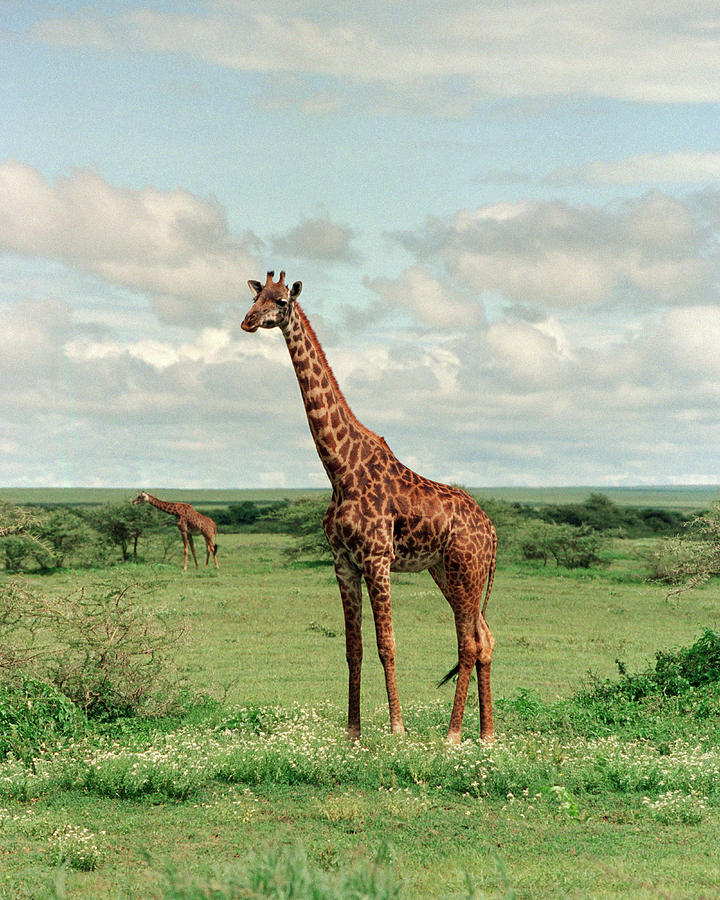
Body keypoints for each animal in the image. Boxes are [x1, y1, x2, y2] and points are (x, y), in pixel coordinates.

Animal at [240, 270, 496, 740]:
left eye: (282, 301)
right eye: (254, 297)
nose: (248, 322)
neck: (340, 469)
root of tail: (492, 531)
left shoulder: (377, 559)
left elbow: (386, 645)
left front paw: (397, 729)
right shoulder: (343, 563)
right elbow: (353, 648)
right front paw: (353, 732)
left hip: (465, 569)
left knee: (468, 642)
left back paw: (453, 736)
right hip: (445, 571)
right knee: (484, 638)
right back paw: (486, 736)